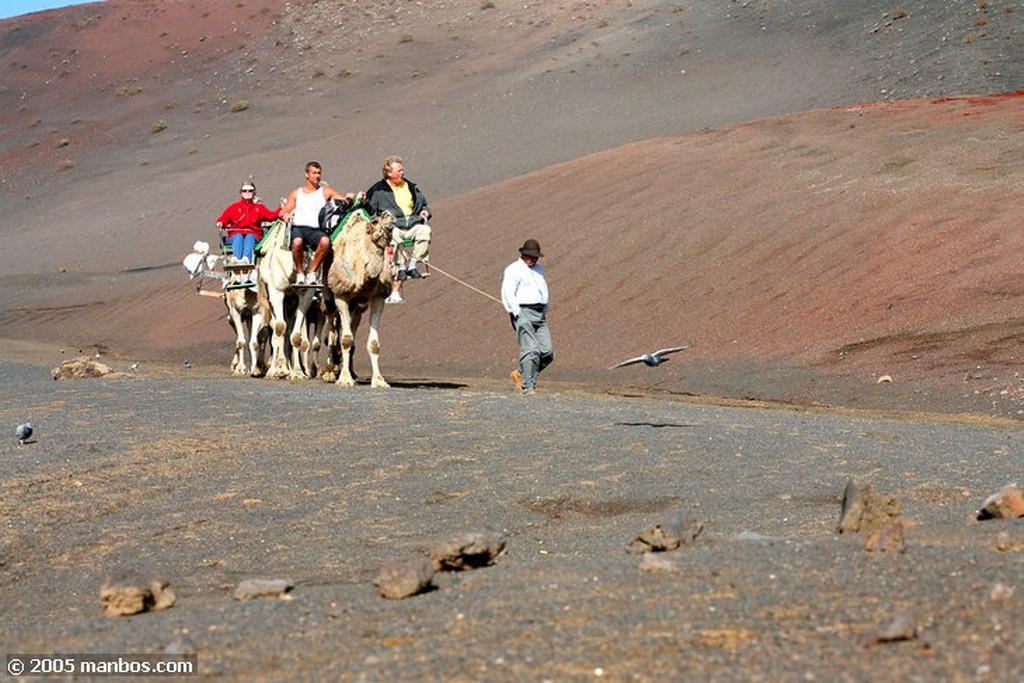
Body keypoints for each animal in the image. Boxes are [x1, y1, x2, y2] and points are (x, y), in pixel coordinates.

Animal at [325, 208, 393, 387]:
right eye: (375, 221)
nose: (388, 215)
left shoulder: (378, 297)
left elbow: (374, 343)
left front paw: (379, 380)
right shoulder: (341, 296)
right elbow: (346, 339)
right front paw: (344, 378)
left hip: (356, 306)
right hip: (328, 298)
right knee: (330, 333)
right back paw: (328, 372)